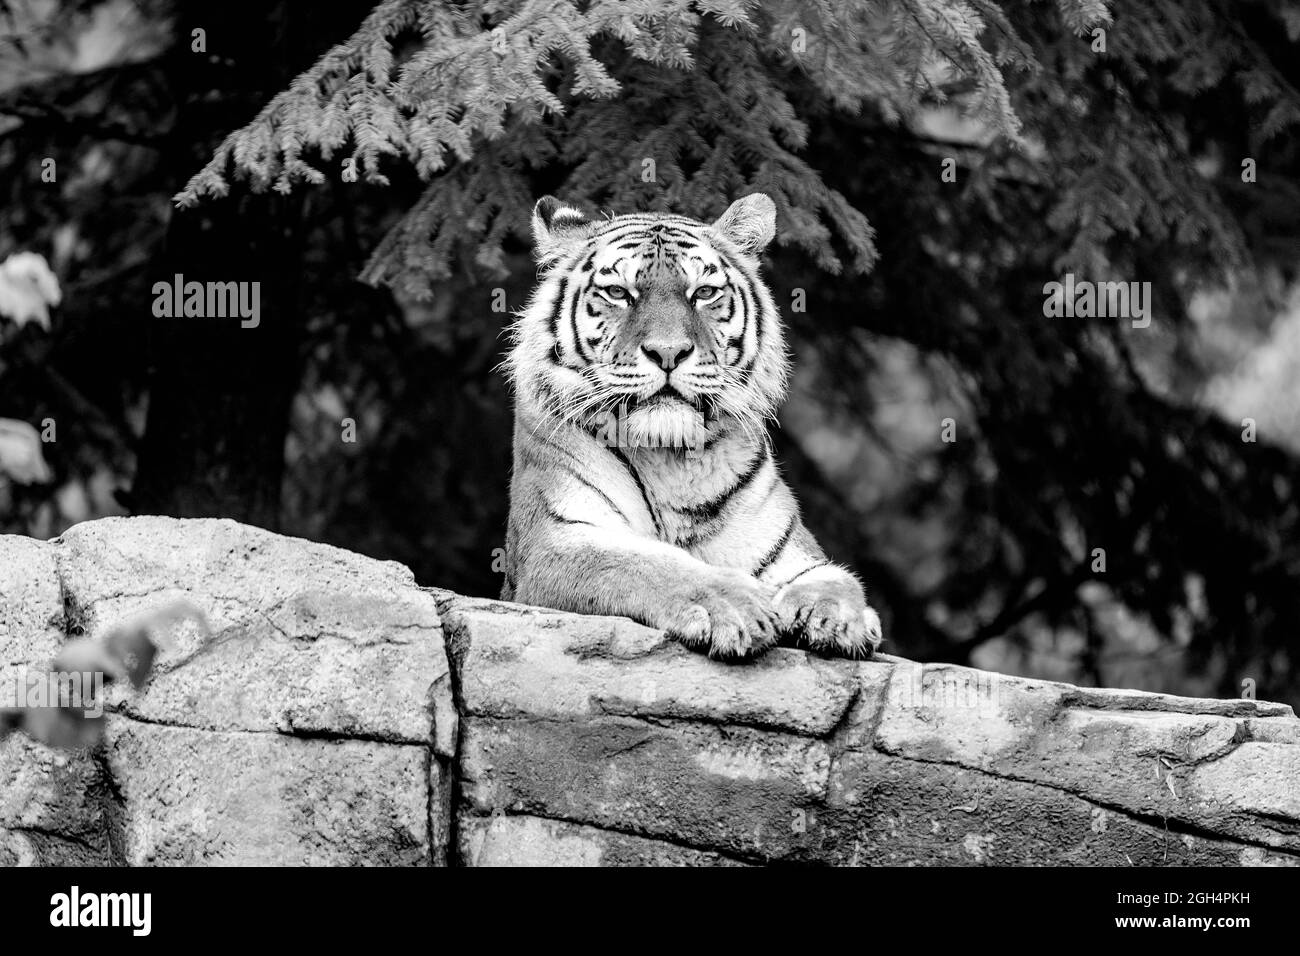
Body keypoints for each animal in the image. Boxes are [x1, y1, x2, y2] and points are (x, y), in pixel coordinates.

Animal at [499, 192, 883, 658]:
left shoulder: (789, 550)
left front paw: (836, 617)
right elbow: (645, 562)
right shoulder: (555, 541)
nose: (668, 352)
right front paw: (733, 606)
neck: (672, 458)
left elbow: (834, 577)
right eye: (618, 293)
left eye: (703, 293)